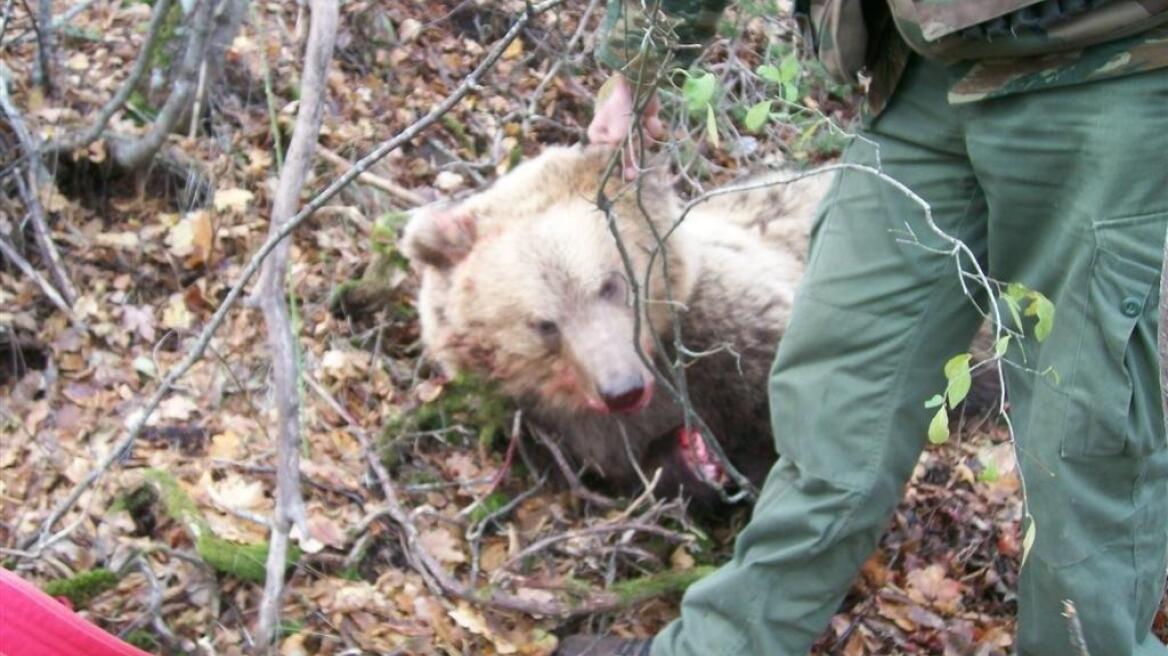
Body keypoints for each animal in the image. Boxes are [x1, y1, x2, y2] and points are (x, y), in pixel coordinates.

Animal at [401, 145, 831, 508]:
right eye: (545, 324)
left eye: (611, 284)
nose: (624, 390)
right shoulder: (573, 431)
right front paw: (694, 460)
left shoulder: (732, 331)